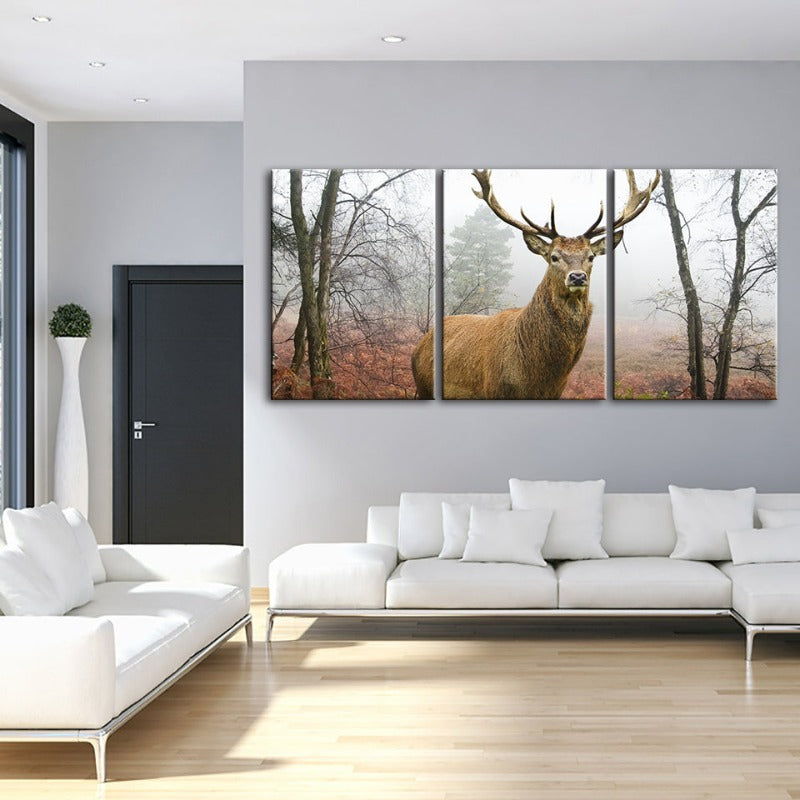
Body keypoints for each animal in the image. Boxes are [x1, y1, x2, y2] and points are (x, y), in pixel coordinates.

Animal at [411, 169, 660, 399]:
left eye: (591, 257)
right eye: (554, 256)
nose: (577, 277)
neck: (537, 377)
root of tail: (420, 344)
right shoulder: (494, 390)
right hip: (423, 387)